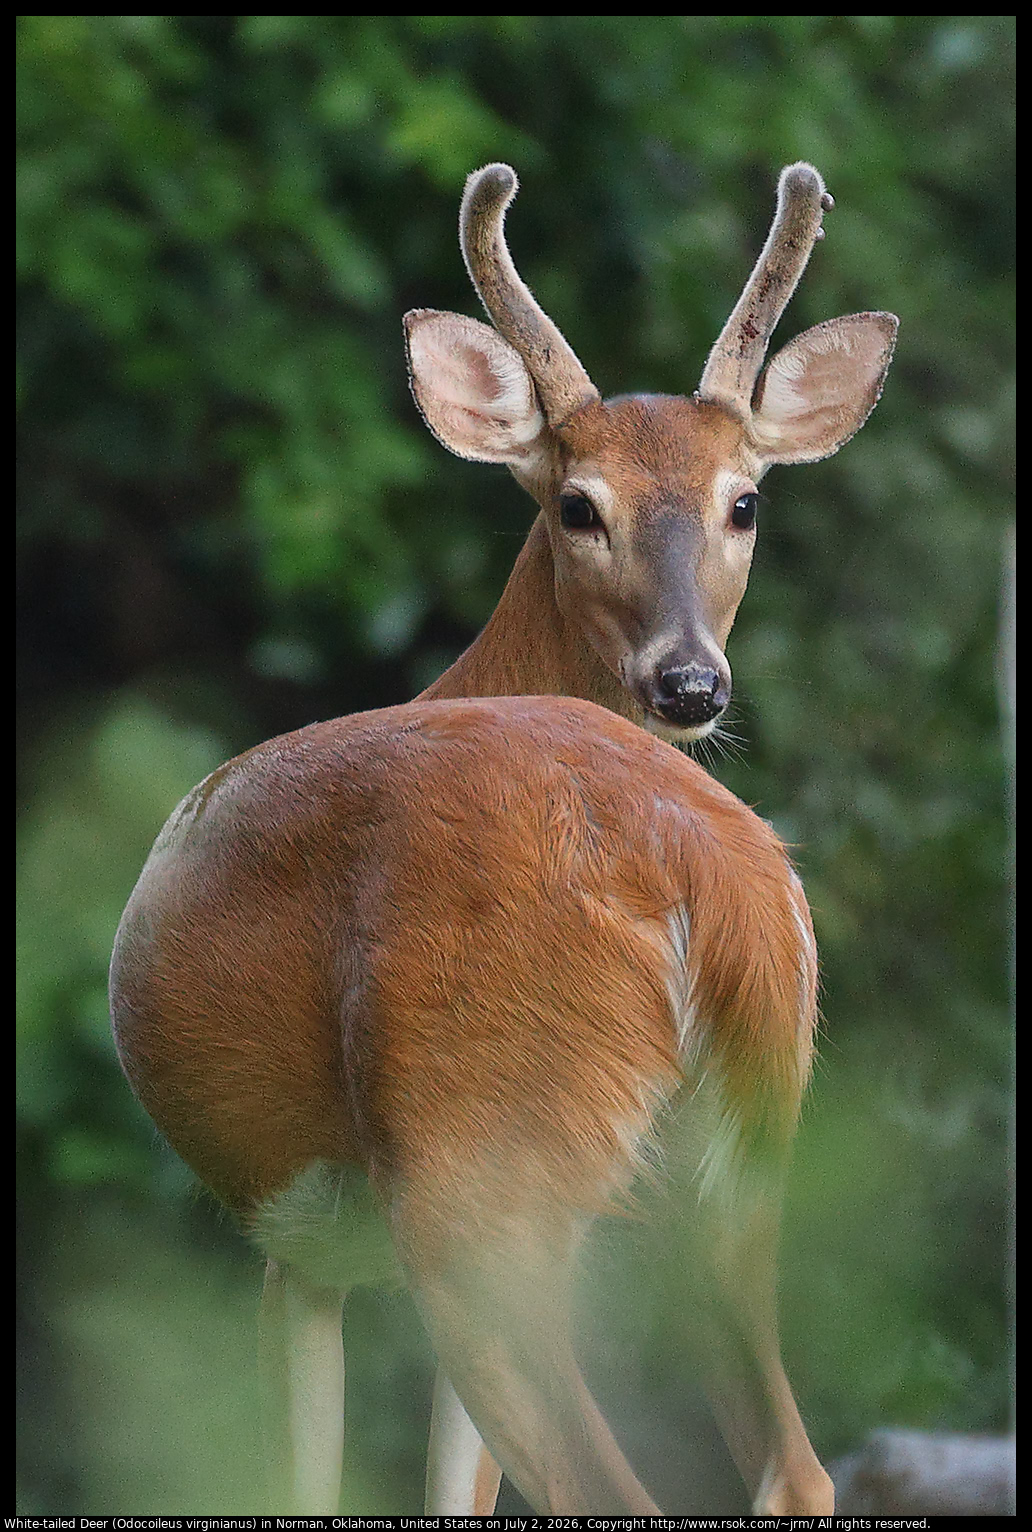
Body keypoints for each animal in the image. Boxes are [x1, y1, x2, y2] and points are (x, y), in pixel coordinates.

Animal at [109, 161, 896, 1516]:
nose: (691, 682)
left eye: (744, 501)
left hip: (480, 1161)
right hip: (745, 1171)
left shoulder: (294, 1248)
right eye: (579, 505)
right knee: (795, 1463)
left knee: (612, 1478)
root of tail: (696, 870)